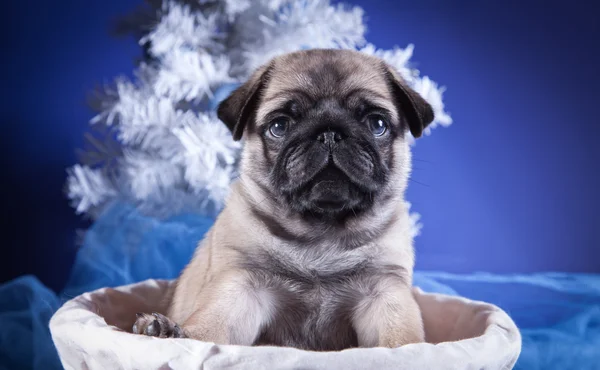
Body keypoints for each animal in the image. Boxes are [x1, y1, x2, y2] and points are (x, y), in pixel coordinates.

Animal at [132, 47, 432, 352]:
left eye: (377, 124)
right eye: (279, 126)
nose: (329, 133)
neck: (321, 232)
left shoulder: (385, 289)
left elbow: (399, 335)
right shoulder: (241, 284)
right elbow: (213, 321)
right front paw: (178, 334)